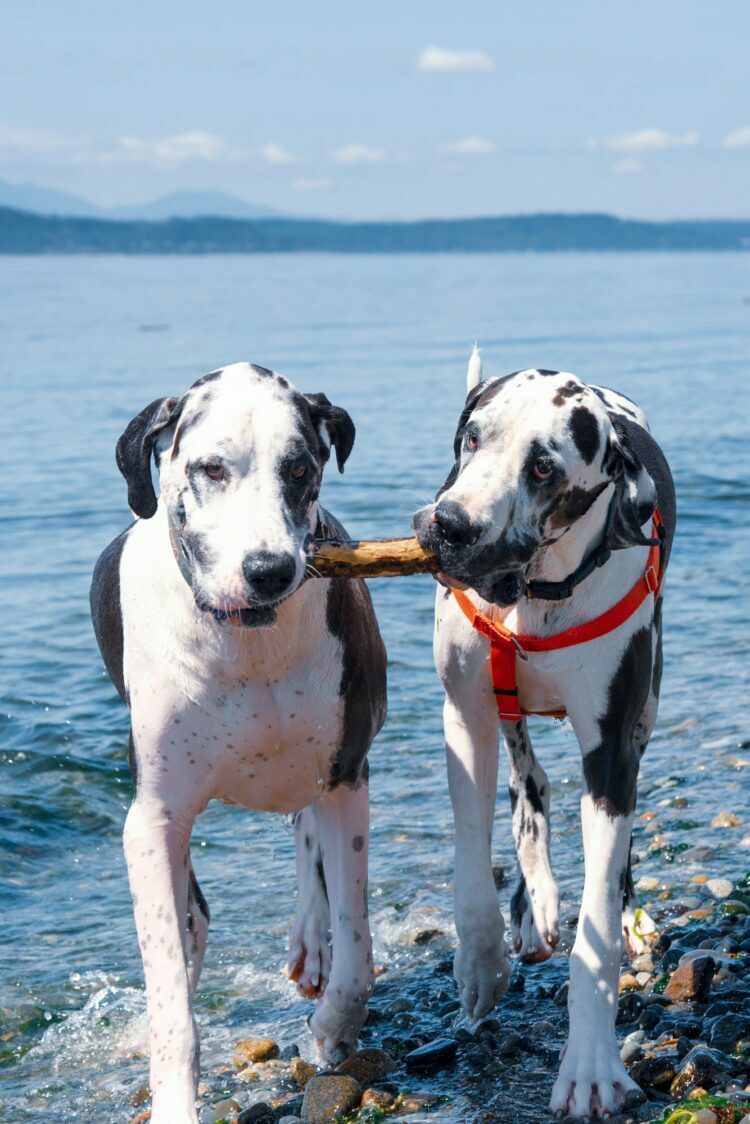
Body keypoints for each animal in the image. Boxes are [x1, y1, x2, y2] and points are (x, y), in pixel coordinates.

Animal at [91, 364, 386, 1119]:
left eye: (300, 467)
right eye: (211, 469)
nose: (268, 569)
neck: (248, 644)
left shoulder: (347, 774)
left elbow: (357, 946)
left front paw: (333, 1025)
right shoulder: (152, 820)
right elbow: (171, 997)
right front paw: (173, 1101)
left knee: (308, 839)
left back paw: (312, 944)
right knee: (193, 923)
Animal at [413, 348, 679, 1115]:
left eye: (542, 468)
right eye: (472, 438)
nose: (450, 526)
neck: (533, 593)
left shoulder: (611, 750)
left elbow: (596, 936)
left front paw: (589, 1065)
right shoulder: (464, 718)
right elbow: (472, 874)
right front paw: (481, 965)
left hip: (645, 713)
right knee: (527, 782)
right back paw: (533, 903)